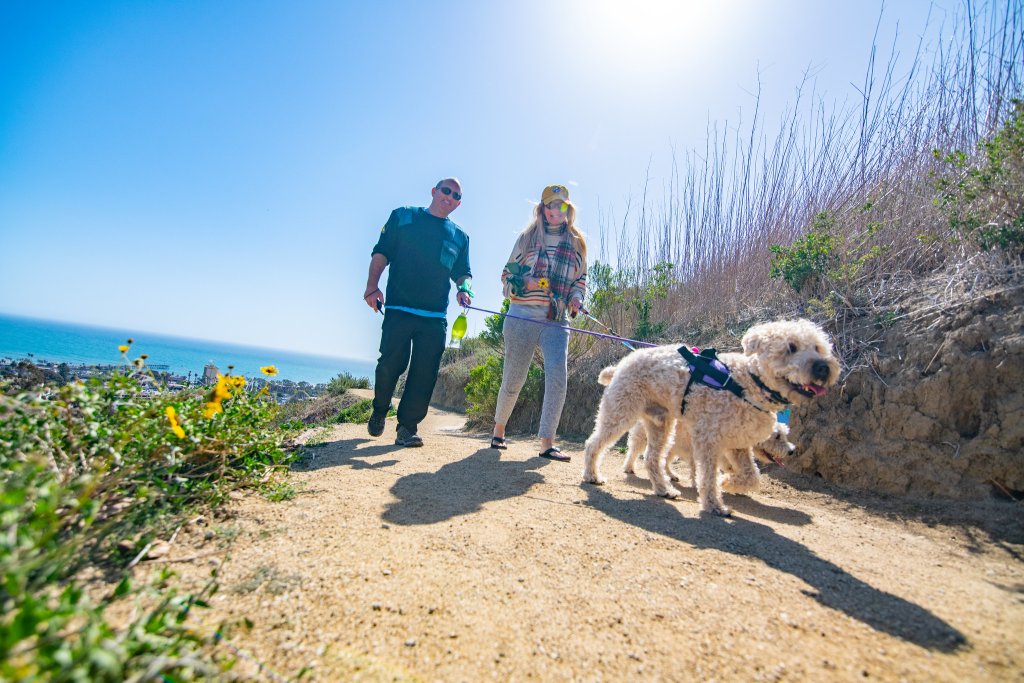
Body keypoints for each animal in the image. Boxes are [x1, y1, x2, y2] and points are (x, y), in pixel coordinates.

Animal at [585, 321, 839, 518]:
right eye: (791, 347)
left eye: (818, 347)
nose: (823, 368)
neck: (746, 384)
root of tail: (621, 364)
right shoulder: (708, 440)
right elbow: (708, 476)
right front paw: (715, 503)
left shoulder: (737, 445)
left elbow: (751, 476)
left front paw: (728, 482)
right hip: (620, 413)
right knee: (594, 444)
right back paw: (592, 475)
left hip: (661, 425)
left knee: (652, 459)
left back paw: (664, 489)